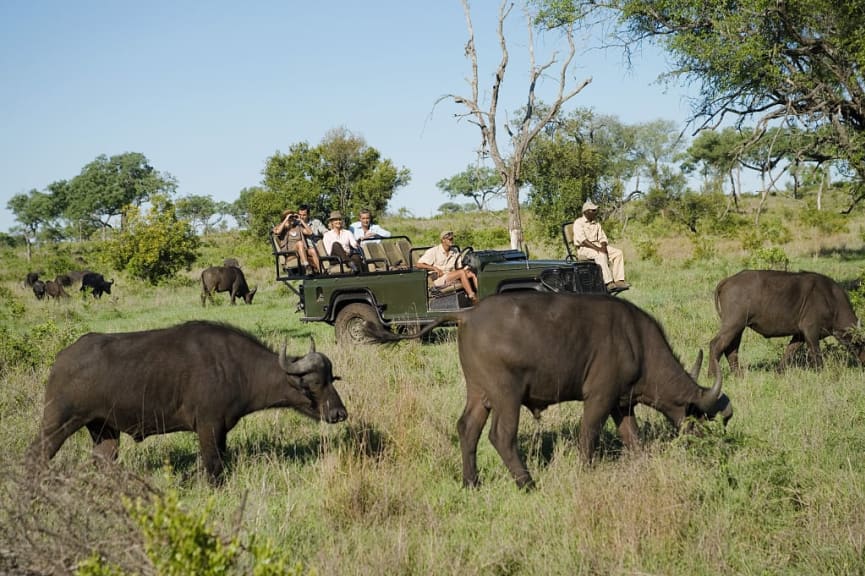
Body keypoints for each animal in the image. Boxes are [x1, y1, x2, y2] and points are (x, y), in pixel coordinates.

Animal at [28, 322, 350, 484]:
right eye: (315, 383)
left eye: (332, 378)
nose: (339, 413)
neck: (236, 367)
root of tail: (61, 359)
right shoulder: (208, 426)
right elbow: (213, 466)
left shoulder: (221, 430)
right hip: (57, 424)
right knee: (36, 455)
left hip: (104, 431)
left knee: (103, 461)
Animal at [362, 292, 728, 486]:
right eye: (702, 418)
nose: (708, 448)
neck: (636, 341)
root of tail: (467, 315)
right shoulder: (599, 398)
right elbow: (588, 434)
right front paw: (586, 470)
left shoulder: (621, 403)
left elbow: (632, 437)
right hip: (506, 395)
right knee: (500, 435)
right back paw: (526, 483)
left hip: (479, 393)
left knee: (467, 428)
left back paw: (471, 482)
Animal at [708, 268, 864, 376]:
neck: (832, 300)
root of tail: (728, 280)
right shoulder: (811, 331)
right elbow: (816, 354)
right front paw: (821, 373)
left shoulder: (799, 335)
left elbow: (789, 352)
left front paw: (778, 372)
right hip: (733, 324)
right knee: (715, 344)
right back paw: (712, 375)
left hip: (739, 327)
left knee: (731, 349)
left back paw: (738, 375)